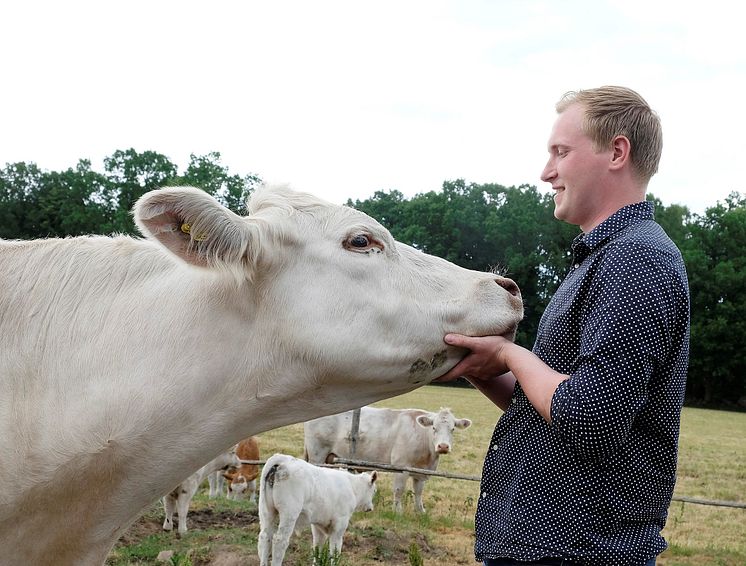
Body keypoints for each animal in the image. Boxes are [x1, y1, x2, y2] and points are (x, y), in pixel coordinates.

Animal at [304, 408, 470, 516]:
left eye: (453, 429)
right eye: (434, 427)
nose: (443, 446)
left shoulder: (421, 472)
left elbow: (418, 491)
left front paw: (420, 511)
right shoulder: (401, 466)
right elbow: (399, 490)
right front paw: (398, 511)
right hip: (317, 454)